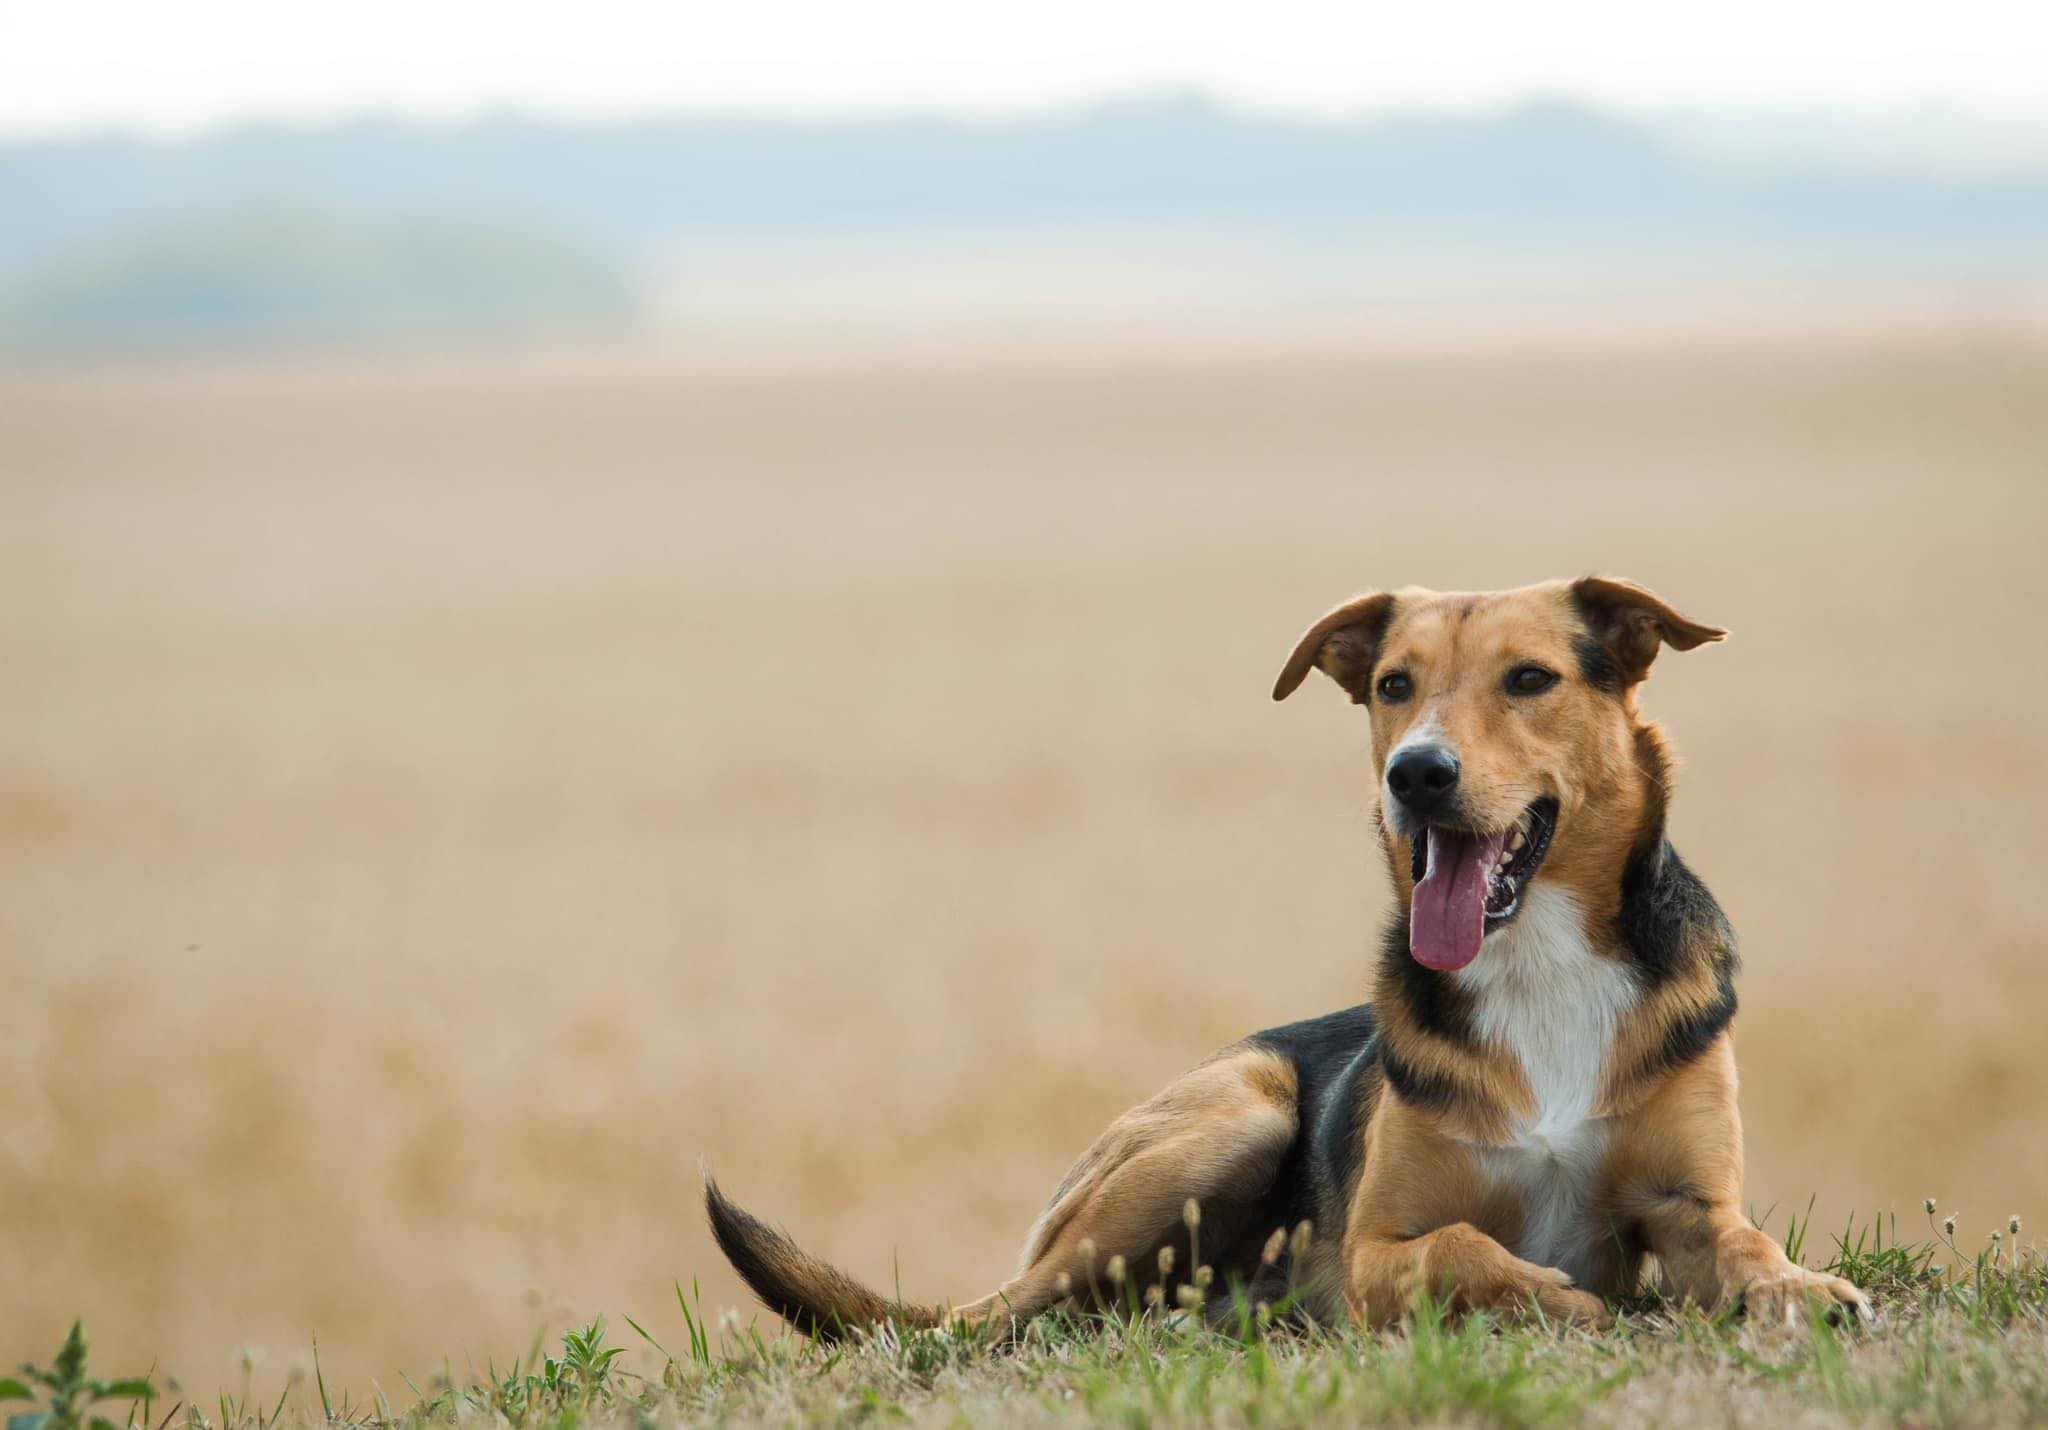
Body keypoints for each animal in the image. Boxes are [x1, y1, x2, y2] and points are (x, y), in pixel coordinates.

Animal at [708, 577, 1875, 1327]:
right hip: (1231, 1121)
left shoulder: (1688, 1204)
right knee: (981, 1318)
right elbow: (1460, 1246)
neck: (1534, 962)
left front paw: (1799, 1288)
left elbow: (1743, 1244)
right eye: (1393, 684)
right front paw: (1545, 1294)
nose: (1415, 774)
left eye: (1530, 678)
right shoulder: (1372, 1249)